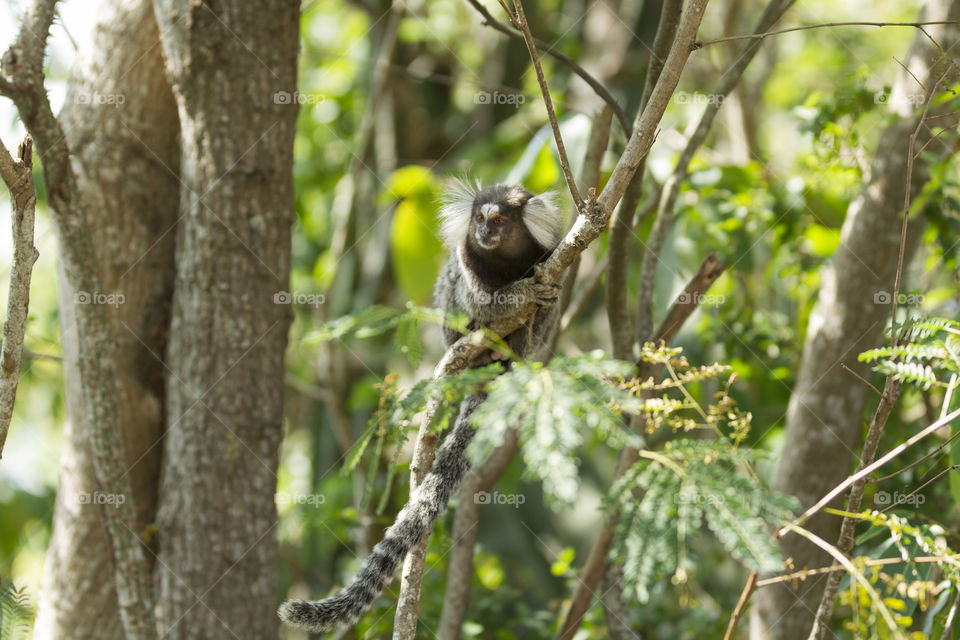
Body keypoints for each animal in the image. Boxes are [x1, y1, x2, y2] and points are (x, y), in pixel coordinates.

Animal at [280, 181, 564, 636]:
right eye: (479, 219)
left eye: (500, 220)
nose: (484, 232)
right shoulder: (467, 263)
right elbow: (481, 300)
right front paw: (522, 294)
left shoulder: (550, 255)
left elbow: (551, 293)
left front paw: (538, 294)